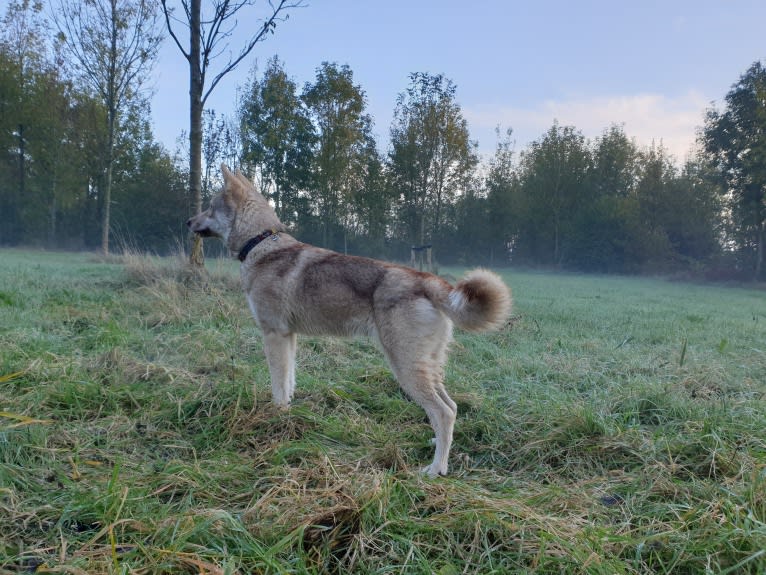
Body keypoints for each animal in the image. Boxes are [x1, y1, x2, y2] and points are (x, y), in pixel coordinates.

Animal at [187, 163, 512, 476]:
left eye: (210, 208)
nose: (188, 222)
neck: (260, 243)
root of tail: (428, 280)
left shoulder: (274, 335)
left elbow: (278, 386)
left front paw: (275, 420)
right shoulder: (288, 337)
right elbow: (289, 383)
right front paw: (287, 416)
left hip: (405, 368)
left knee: (442, 412)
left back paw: (436, 469)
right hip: (428, 366)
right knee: (452, 407)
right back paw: (437, 444)